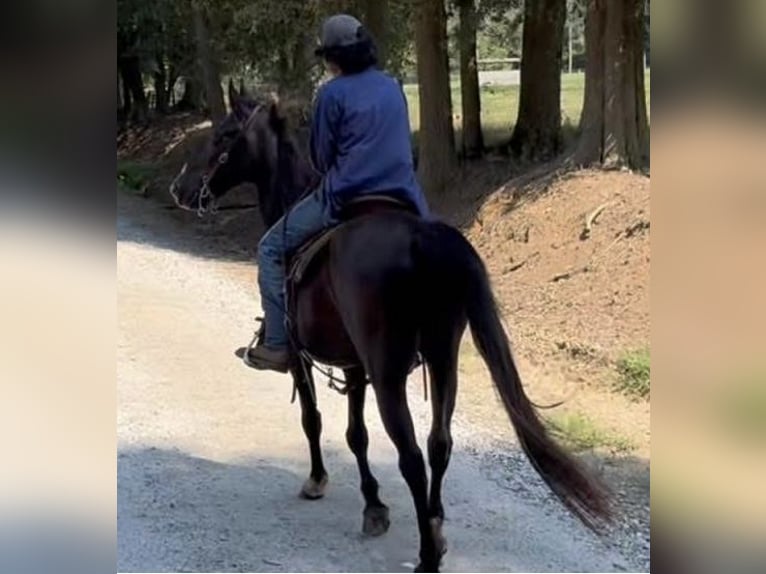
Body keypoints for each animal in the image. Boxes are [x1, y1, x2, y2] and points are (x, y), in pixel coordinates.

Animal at [169, 82, 611, 572]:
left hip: (389, 373)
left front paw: (318, 480)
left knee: (412, 456)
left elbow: (313, 420)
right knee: (439, 444)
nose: (182, 189)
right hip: (442, 358)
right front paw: (374, 506)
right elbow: (356, 435)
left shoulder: (305, 358)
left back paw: (426, 554)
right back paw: (435, 527)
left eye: (225, 135)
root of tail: (425, 240)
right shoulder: (354, 365)